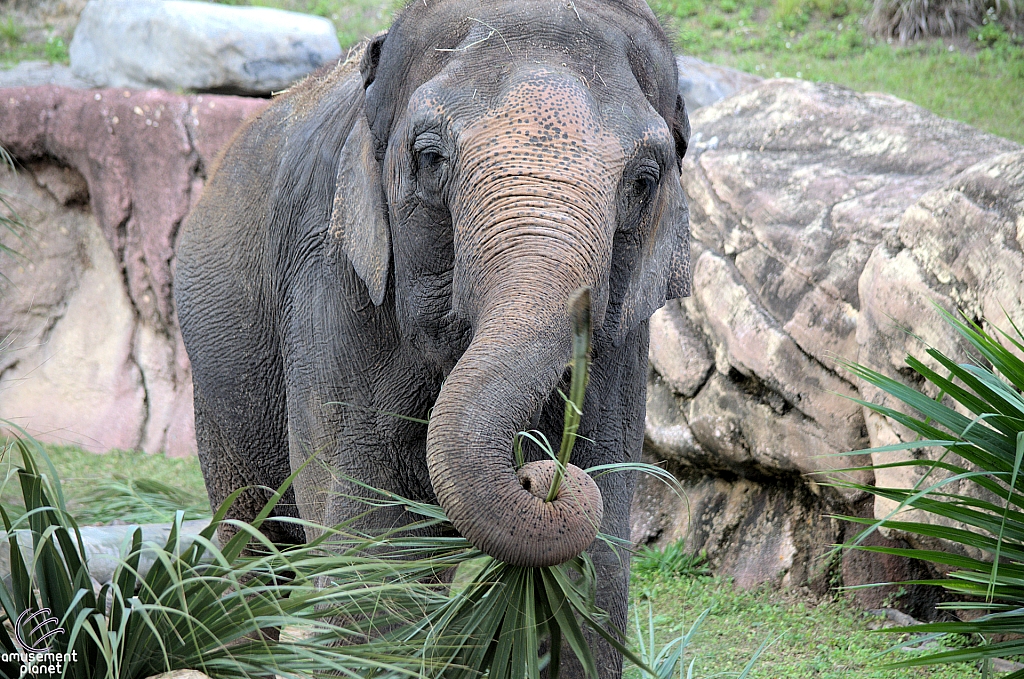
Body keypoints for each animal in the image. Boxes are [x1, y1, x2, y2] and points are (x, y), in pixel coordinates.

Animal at [176, 1, 692, 675]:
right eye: (429, 158)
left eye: (644, 181)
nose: (540, 476)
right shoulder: (334, 285)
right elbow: (371, 540)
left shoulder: (621, 342)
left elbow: (599, 553)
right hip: (219, 373)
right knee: (254, 537)